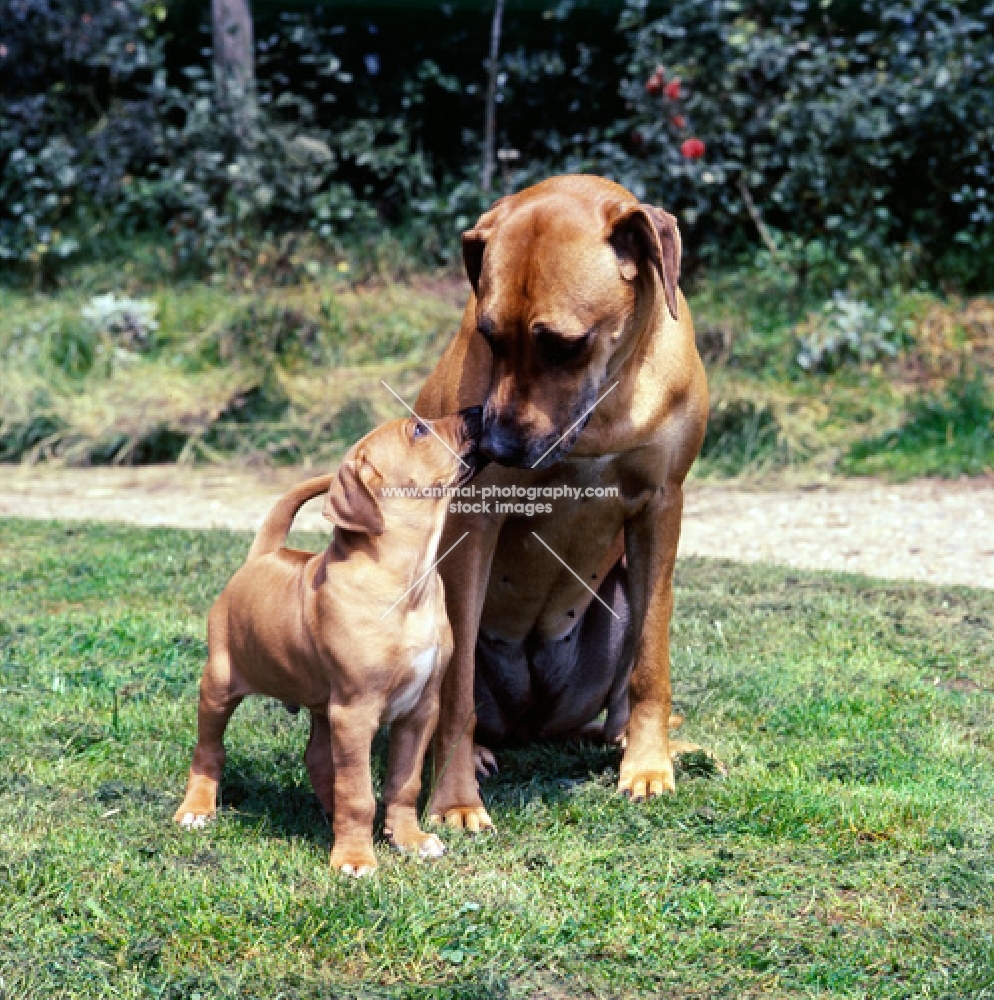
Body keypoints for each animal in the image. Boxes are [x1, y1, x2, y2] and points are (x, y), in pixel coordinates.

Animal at [175, 410, 484, 872]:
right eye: (418, 430)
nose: (477, 411)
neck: (409, 582)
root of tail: (264, 556)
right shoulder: (356, 712)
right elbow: (358, 793)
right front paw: (354, 858)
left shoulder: (419, 710)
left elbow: (404, 783)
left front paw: (408, 839)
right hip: (219, 683)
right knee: (208, 749)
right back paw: (196, 808)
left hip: (324, 705)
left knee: (318, 760)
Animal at [414, 176, 708, 832]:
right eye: (489, 336)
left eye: (565, 346)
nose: (495, 446)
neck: (605, 408)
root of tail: (534, 723)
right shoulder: (474, 520)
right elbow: (456, 695)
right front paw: (454, 800)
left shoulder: (661, 507)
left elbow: (653, 661)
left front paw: (649, 765)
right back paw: (479, 754)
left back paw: (628, 739)